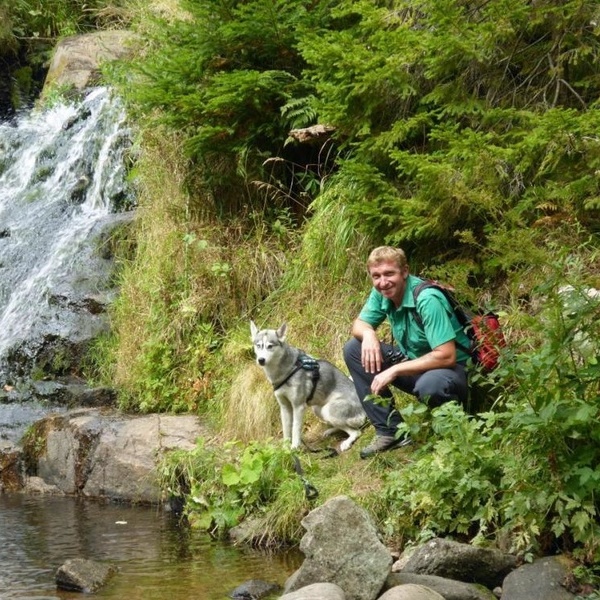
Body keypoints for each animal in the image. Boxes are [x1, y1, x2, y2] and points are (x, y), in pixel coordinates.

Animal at [250, 322, 366, 452]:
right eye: (258, 346)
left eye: (270, 346)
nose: (261, 360)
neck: (287, 370)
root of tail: (364, 411)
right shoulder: (284, 407)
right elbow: (286, 430)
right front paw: (285, 449)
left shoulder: (298, 406)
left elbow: (295, 429)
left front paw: (295, 447)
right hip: (318, 409)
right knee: (344, 427)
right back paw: (330, 431)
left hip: (329, 410)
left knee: (356, 432)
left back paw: (346, 443)